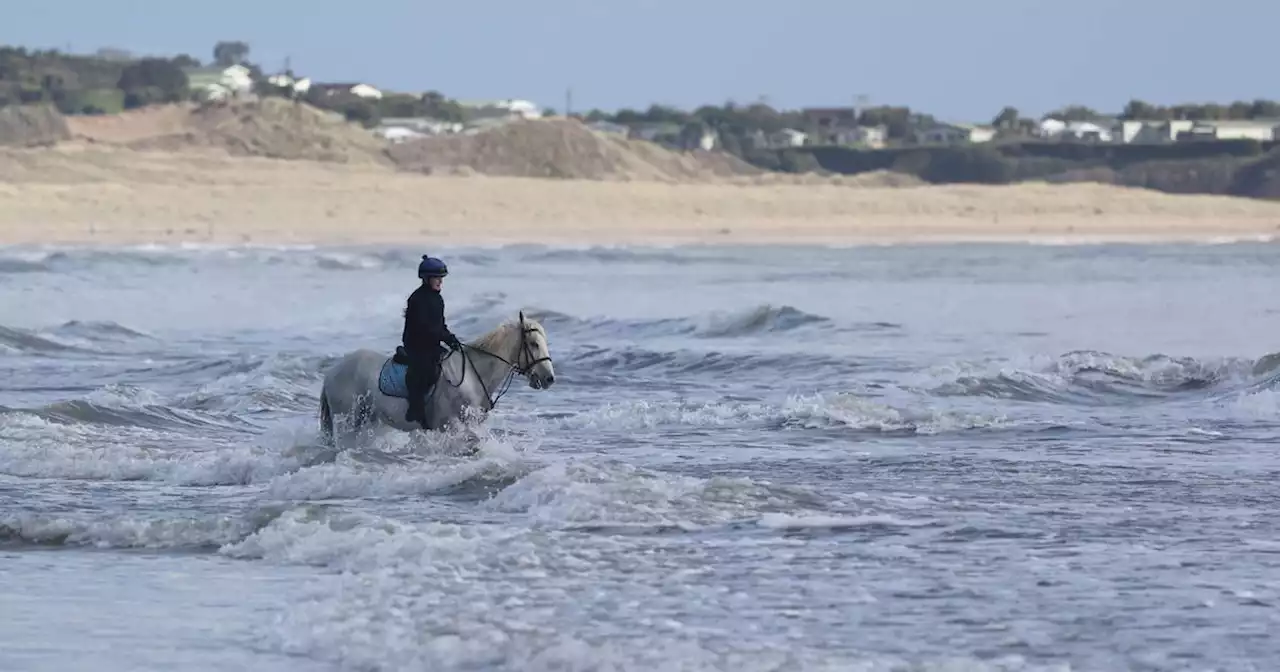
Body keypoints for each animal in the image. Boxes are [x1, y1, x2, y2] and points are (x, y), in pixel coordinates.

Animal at [317, 309, 552, 440]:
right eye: (534, 344)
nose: (549, 378)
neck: (472, 376)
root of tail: (331, 373)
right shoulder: (450, 425)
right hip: (347, 420)